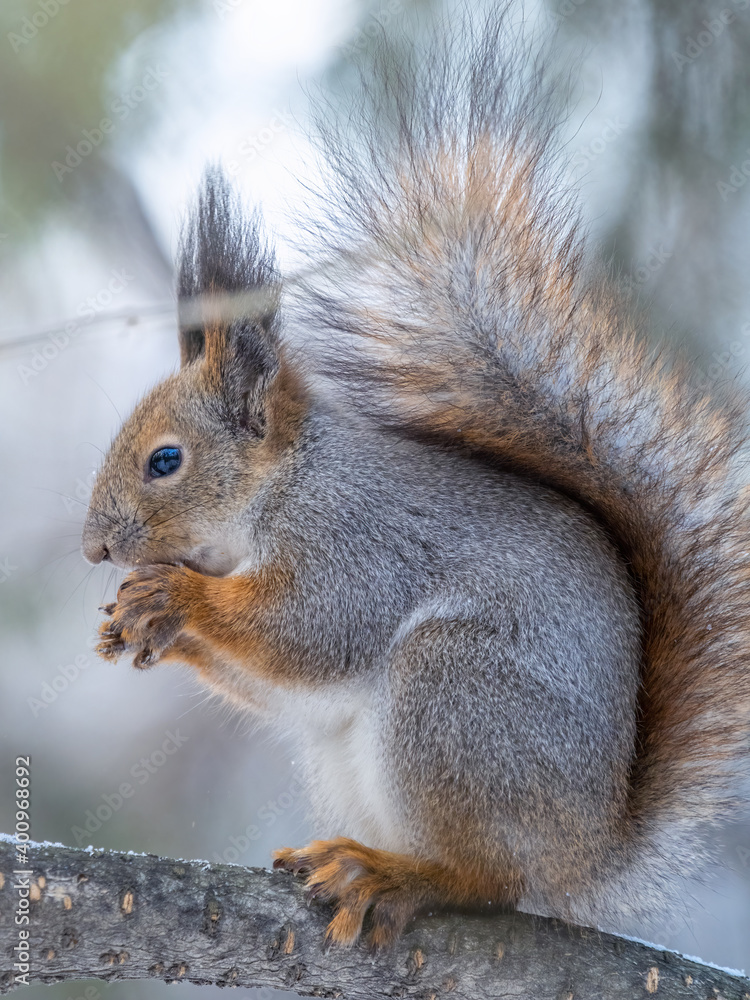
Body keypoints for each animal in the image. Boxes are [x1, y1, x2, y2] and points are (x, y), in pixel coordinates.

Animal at [82, 11, 750, 944]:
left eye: (165, 461)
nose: (93, 548)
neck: (280, 490)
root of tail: (587, 852)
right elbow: (277, 685)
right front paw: (143, 621)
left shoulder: (354, 541)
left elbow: (312, 628)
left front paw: (177, 599)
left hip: (455, 698)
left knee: (489, 880)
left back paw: (397, 875)